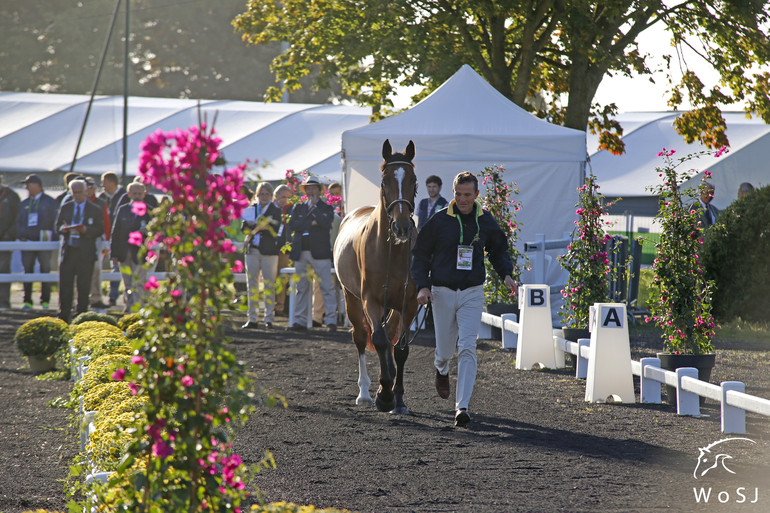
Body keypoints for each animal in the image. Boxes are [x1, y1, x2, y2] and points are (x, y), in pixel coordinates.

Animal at [332, 139, 416, 412]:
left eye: (413, 179)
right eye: (384, 180)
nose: (402, 227)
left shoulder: (408, 304)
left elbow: (400, 349)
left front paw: (397, 397)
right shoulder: (371, 300)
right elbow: (378, 341)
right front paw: (384, 394)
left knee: (389, 337)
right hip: (351, 298)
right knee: (361, 337)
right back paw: (365, 393)